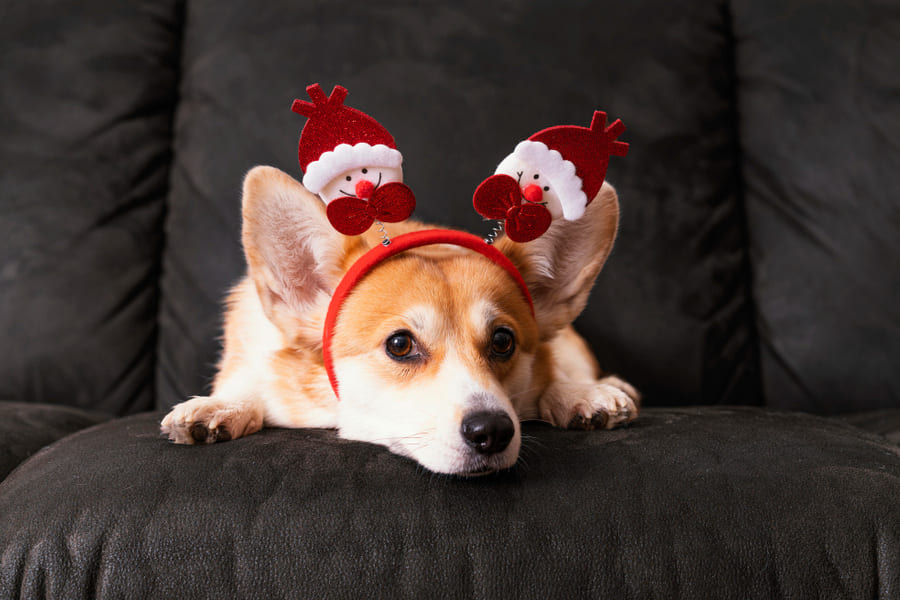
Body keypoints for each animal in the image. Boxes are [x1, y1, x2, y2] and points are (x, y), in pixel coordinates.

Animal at [162, 166, 640, 476]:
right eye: (399, 345)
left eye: (503, 341)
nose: (492, 431)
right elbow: (247, 387)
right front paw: (221, 406)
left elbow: (552, 375)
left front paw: (579, 395)